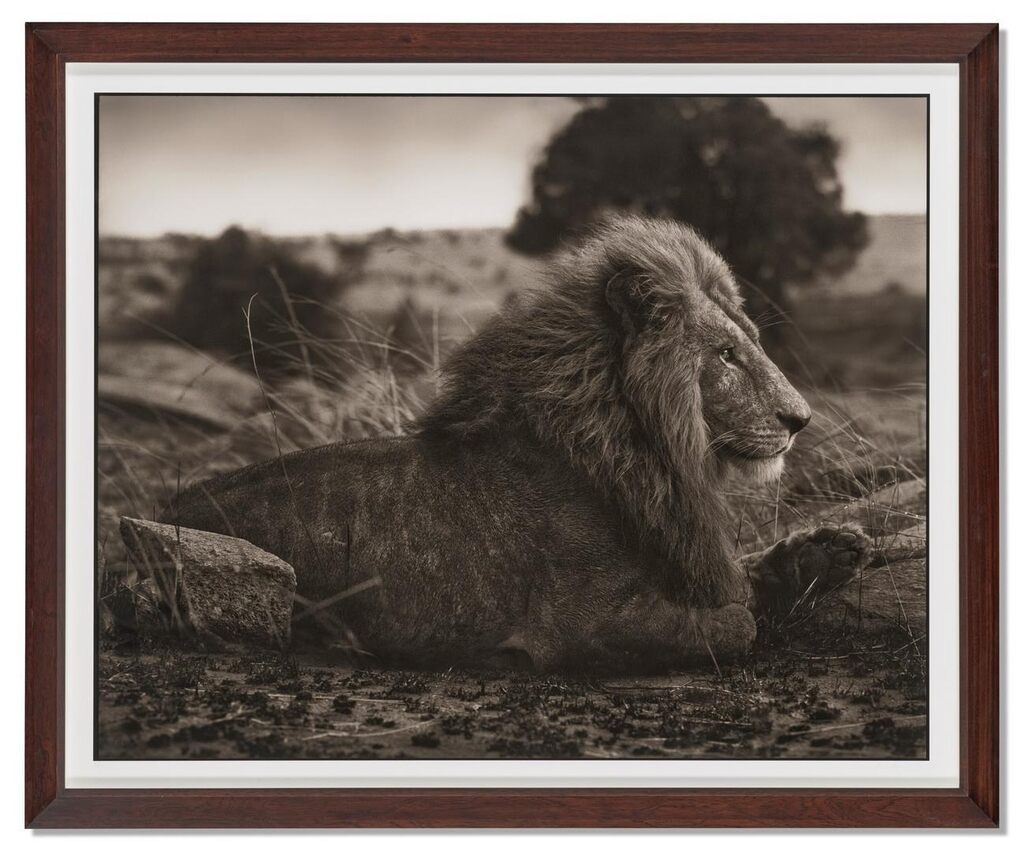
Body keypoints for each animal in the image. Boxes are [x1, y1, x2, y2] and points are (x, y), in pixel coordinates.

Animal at [168, 216, 871, 671]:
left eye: (748, 340)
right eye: (725, 354)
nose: (801, 419)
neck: (647, 448)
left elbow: (745, 579)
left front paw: (825, 552)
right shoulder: (579, 623)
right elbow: (737, 621)